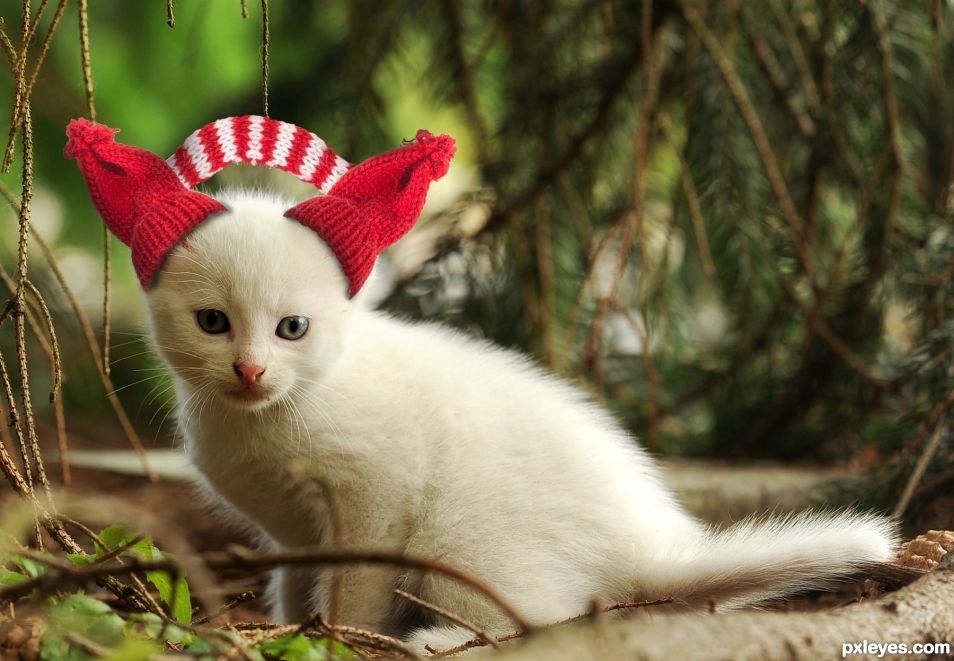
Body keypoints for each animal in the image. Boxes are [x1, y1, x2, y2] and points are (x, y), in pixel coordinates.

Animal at [145, 189, 896, 648]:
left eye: (292, 327)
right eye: (213, 322)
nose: (248, 369)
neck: (275, 412)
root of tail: (647, 545)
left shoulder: (376, 499)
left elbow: (354, 586)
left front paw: (342, 637)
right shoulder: (294, 529)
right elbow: (295, 578)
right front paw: (293, 625)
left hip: (458, 540)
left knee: (543, 618)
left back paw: (438, 640)